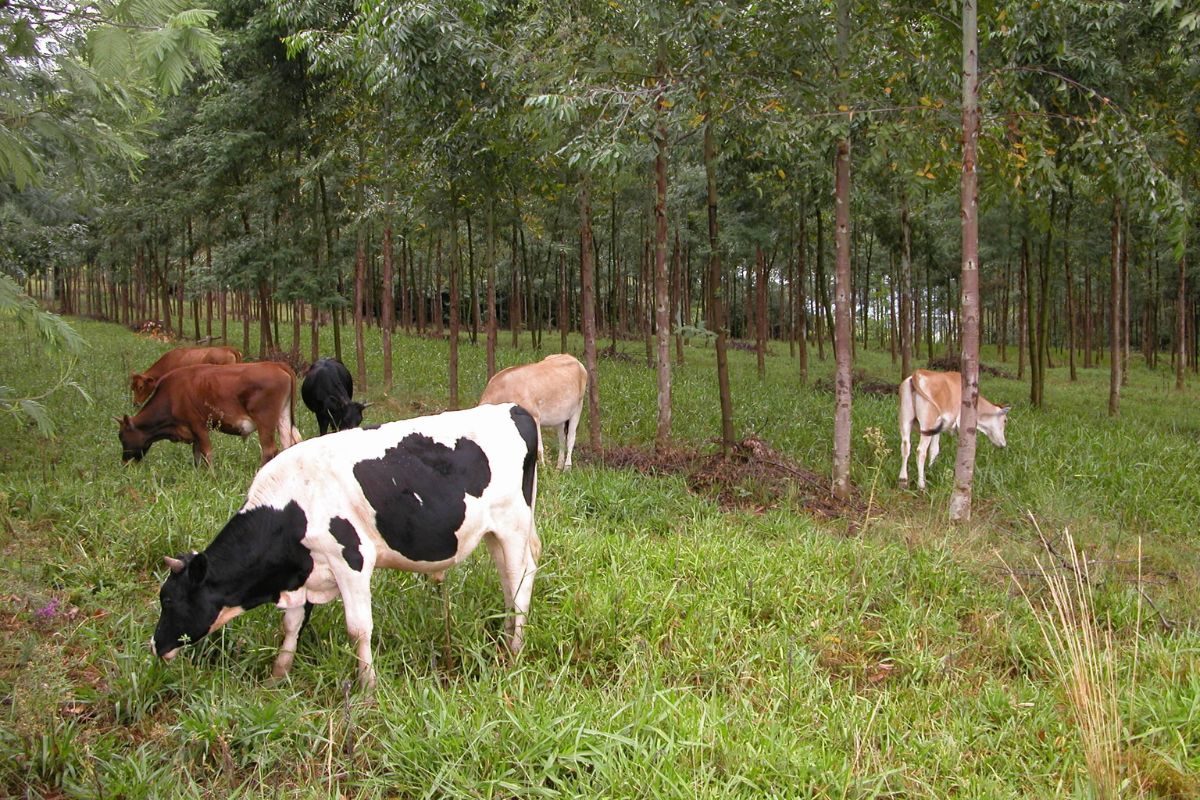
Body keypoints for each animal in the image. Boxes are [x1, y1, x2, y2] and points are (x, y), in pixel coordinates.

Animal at [117, 359, 302, 465]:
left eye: (122, 437)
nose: (125, 462)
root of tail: (276, 364)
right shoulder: (193, 432)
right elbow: (197, 453)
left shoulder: (198, 424)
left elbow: (207, 452)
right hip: (283, 417)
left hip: (265, 421)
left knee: (269, 449)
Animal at [150, 402, 540, 690]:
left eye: (168, 599)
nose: (155, 645)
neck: (292, 507)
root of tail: (512, 408)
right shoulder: (302, 572)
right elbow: (291, 625)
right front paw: (278, 675)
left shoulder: (351, 561)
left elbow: (358, 628)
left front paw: (368, 686)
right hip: (492, 533)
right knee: (510, 581)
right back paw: (507, 634)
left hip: (513, 525)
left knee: (520, 581)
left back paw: (514, 650)